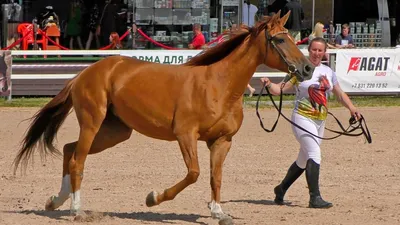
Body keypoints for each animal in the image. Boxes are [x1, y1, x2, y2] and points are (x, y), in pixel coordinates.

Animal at [14, 11, 314, 222]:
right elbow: (194, 174)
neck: (219, 85)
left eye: (292, 37)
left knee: (68, 149)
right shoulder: (185, 135)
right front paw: (153, 198)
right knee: (78, 159)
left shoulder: (222, 141)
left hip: (115, 132)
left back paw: (56, 201)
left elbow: (215, 177)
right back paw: (77, 210)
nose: (308, 68)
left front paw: (218, 212)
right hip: (92, 123)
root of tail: (84, 74)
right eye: (279, 39)